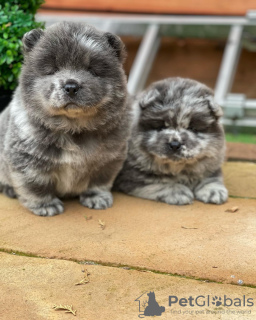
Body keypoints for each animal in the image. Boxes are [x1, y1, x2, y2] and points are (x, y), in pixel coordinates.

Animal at [0, 21, 131, 216]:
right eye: (53, 70)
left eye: (92, 70)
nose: (71, 86)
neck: (73, 129)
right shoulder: (28, 161)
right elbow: (36, 186)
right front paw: (45, 205)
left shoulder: (108, 161)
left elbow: (99, 182)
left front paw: (97, 197)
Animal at [114, 77, 228, 205]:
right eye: (161, 127)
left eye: (192, 128)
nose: (174, 144)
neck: (177, 168)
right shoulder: (131, 174)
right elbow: (155, 182)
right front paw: (177, 191)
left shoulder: (211, 163)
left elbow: (212, 177)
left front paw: (214, 191)